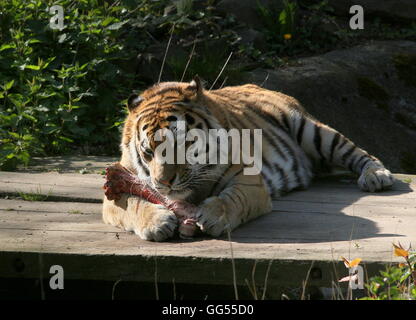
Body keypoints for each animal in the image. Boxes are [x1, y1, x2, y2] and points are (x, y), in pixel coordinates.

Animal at [102, 77, 394, 241]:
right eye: (148, 152)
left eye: (183, 143)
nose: (164, 183)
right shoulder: (115, 192)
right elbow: (132, 204)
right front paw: (157, 223)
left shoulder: (250, 181)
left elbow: (233, 199)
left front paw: (213, 216)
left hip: (313, 130)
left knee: (359, 153)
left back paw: (376, 176)